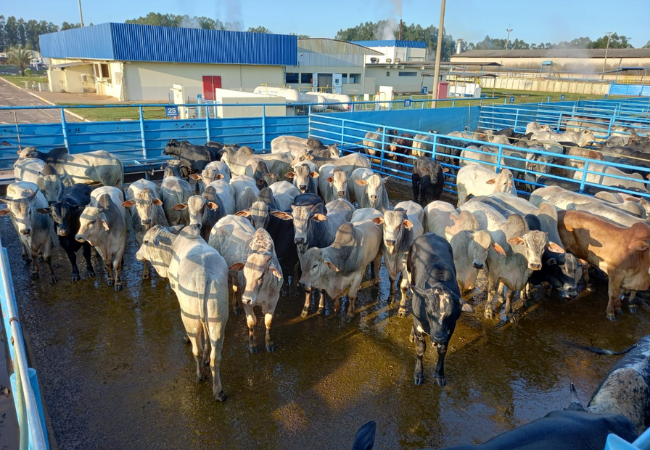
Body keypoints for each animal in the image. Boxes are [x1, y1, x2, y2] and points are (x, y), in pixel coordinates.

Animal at [135, 225, 229, 400]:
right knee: (216, 357)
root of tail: (202, 275)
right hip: (218, 319)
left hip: (189, 316)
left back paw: (200, 375)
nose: (137, 254)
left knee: (196, 350)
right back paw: (218, 390)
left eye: (145, 241)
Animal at [404, 232, 460, 386]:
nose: (439, 337)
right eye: (429, 312)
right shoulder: (419, 326)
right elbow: (420, 350)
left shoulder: (450, 329)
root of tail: (430, 233)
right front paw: (418, 374)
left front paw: (440, 375)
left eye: (450, 314)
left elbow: (443, 350)